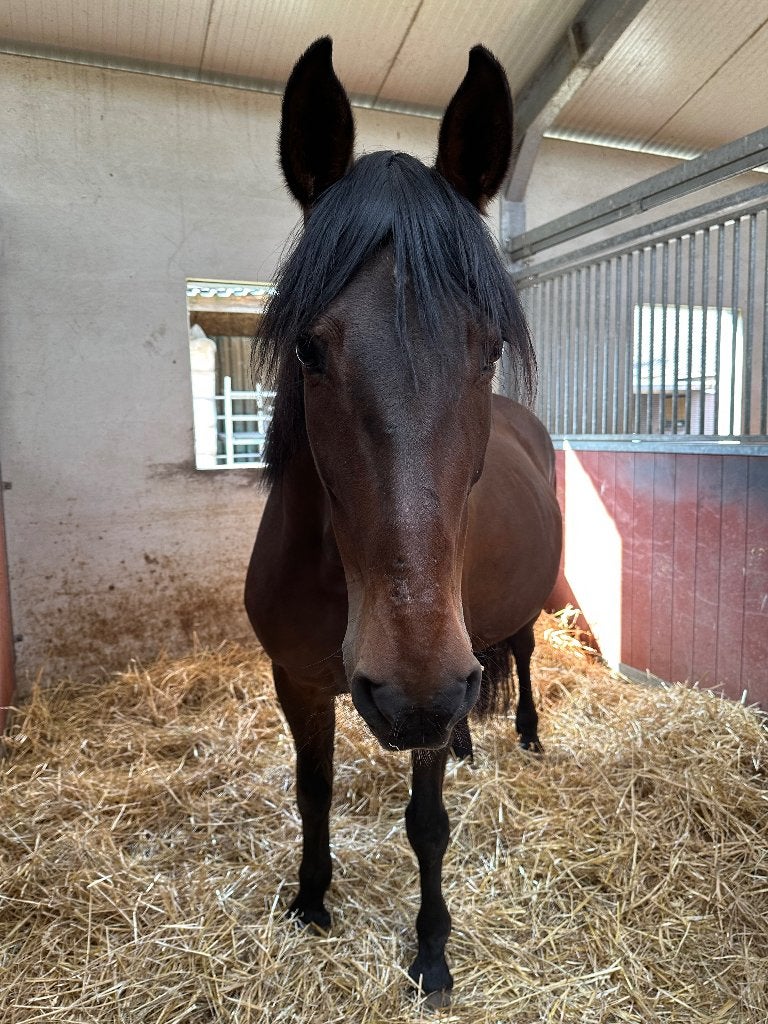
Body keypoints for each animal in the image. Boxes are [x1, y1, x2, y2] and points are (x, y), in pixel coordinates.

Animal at [245, 37, 562, 1003]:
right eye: (309, 348)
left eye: (488, 349)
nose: (415, 693)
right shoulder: (298, 680)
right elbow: (311, 791)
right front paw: (311, 901)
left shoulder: (432, 674)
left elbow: (427, 826)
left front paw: (432, 954)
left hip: (506, 626)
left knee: (520, 657)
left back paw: (522, 733)